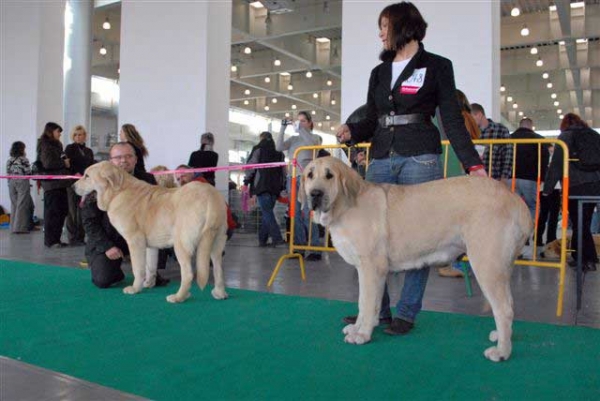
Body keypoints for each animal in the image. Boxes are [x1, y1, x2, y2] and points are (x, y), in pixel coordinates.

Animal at [72, 161, 227, 302]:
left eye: (87, 176)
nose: (73, 187)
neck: (118, 192)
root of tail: (210, 196)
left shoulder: (135, 240)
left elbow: (138, 268)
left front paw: (135, 288)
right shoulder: (149, 245)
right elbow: (150, 266)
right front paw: (148, 284)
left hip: (181, 244)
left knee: (188, 273)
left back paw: (179, 297)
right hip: (216, 243)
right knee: (219, 269)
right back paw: (220, 293)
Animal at [302, 157, 532, 362]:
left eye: (329, 175)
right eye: (310, 175)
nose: (315, 193)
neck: (345, 205)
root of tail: (515, 199)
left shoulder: (372, 267)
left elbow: (367, 304)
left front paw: (362, 334)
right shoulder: (364, 269)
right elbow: (363, 303)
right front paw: (358, 327)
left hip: (486, 264)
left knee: (503, 309)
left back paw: (501, 351)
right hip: (501, 266)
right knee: (508, 304)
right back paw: (501, 336)